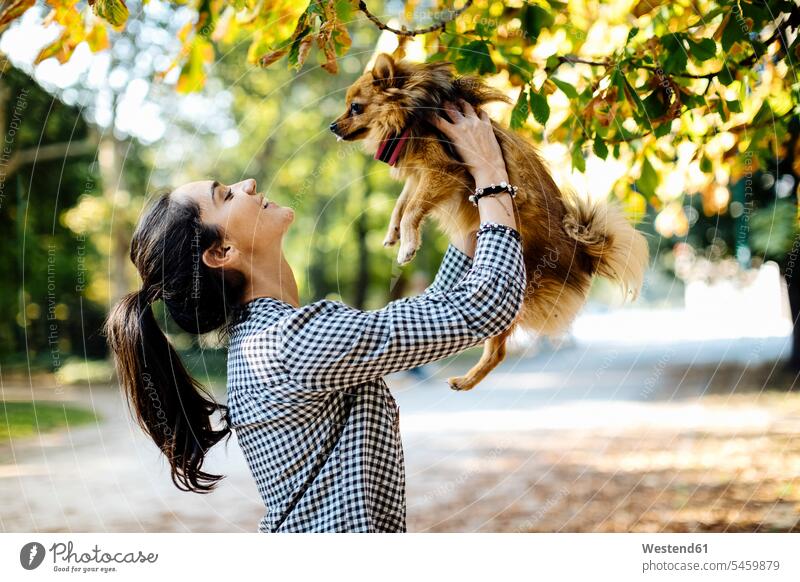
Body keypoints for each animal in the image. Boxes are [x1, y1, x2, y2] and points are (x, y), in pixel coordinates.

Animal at [332, 54, 648, 392]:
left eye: (356, 107)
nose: (332, 126)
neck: (412, 110)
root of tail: (581, 252)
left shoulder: (442, 170)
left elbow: (412, 208)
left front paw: (407, 243)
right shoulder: (420, 174)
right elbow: (402, 204)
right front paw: (394, 233)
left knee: (499, 347)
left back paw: (468, 379)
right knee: (499, 349)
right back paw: (467, 380)